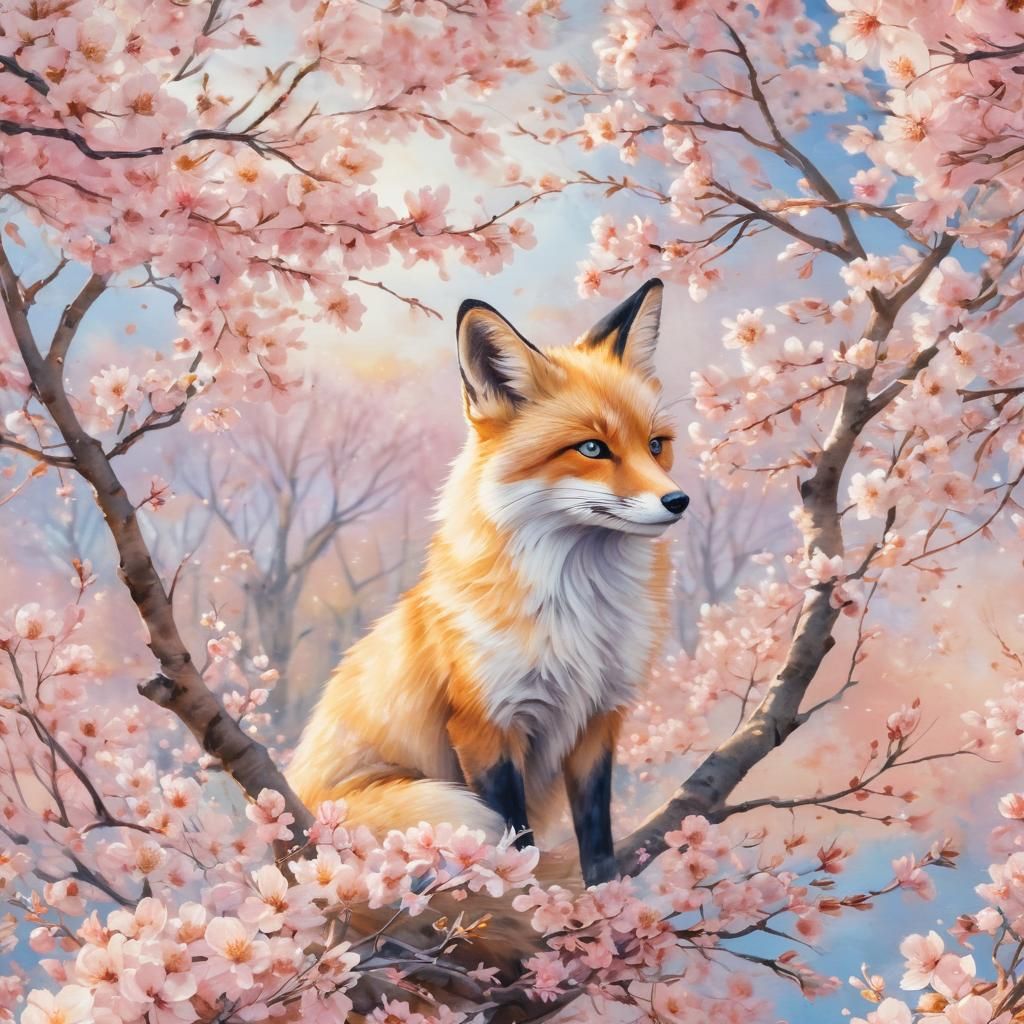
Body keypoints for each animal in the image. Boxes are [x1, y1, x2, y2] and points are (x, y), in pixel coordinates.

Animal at [288, 277, 687, 890]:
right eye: (592, 448)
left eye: (656, 444)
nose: (678, 501)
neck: (579, 613)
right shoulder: (484, 725)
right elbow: (514, 836)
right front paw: (520, 895)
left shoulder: (598, 720)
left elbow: (596, 835)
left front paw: (604, 899)